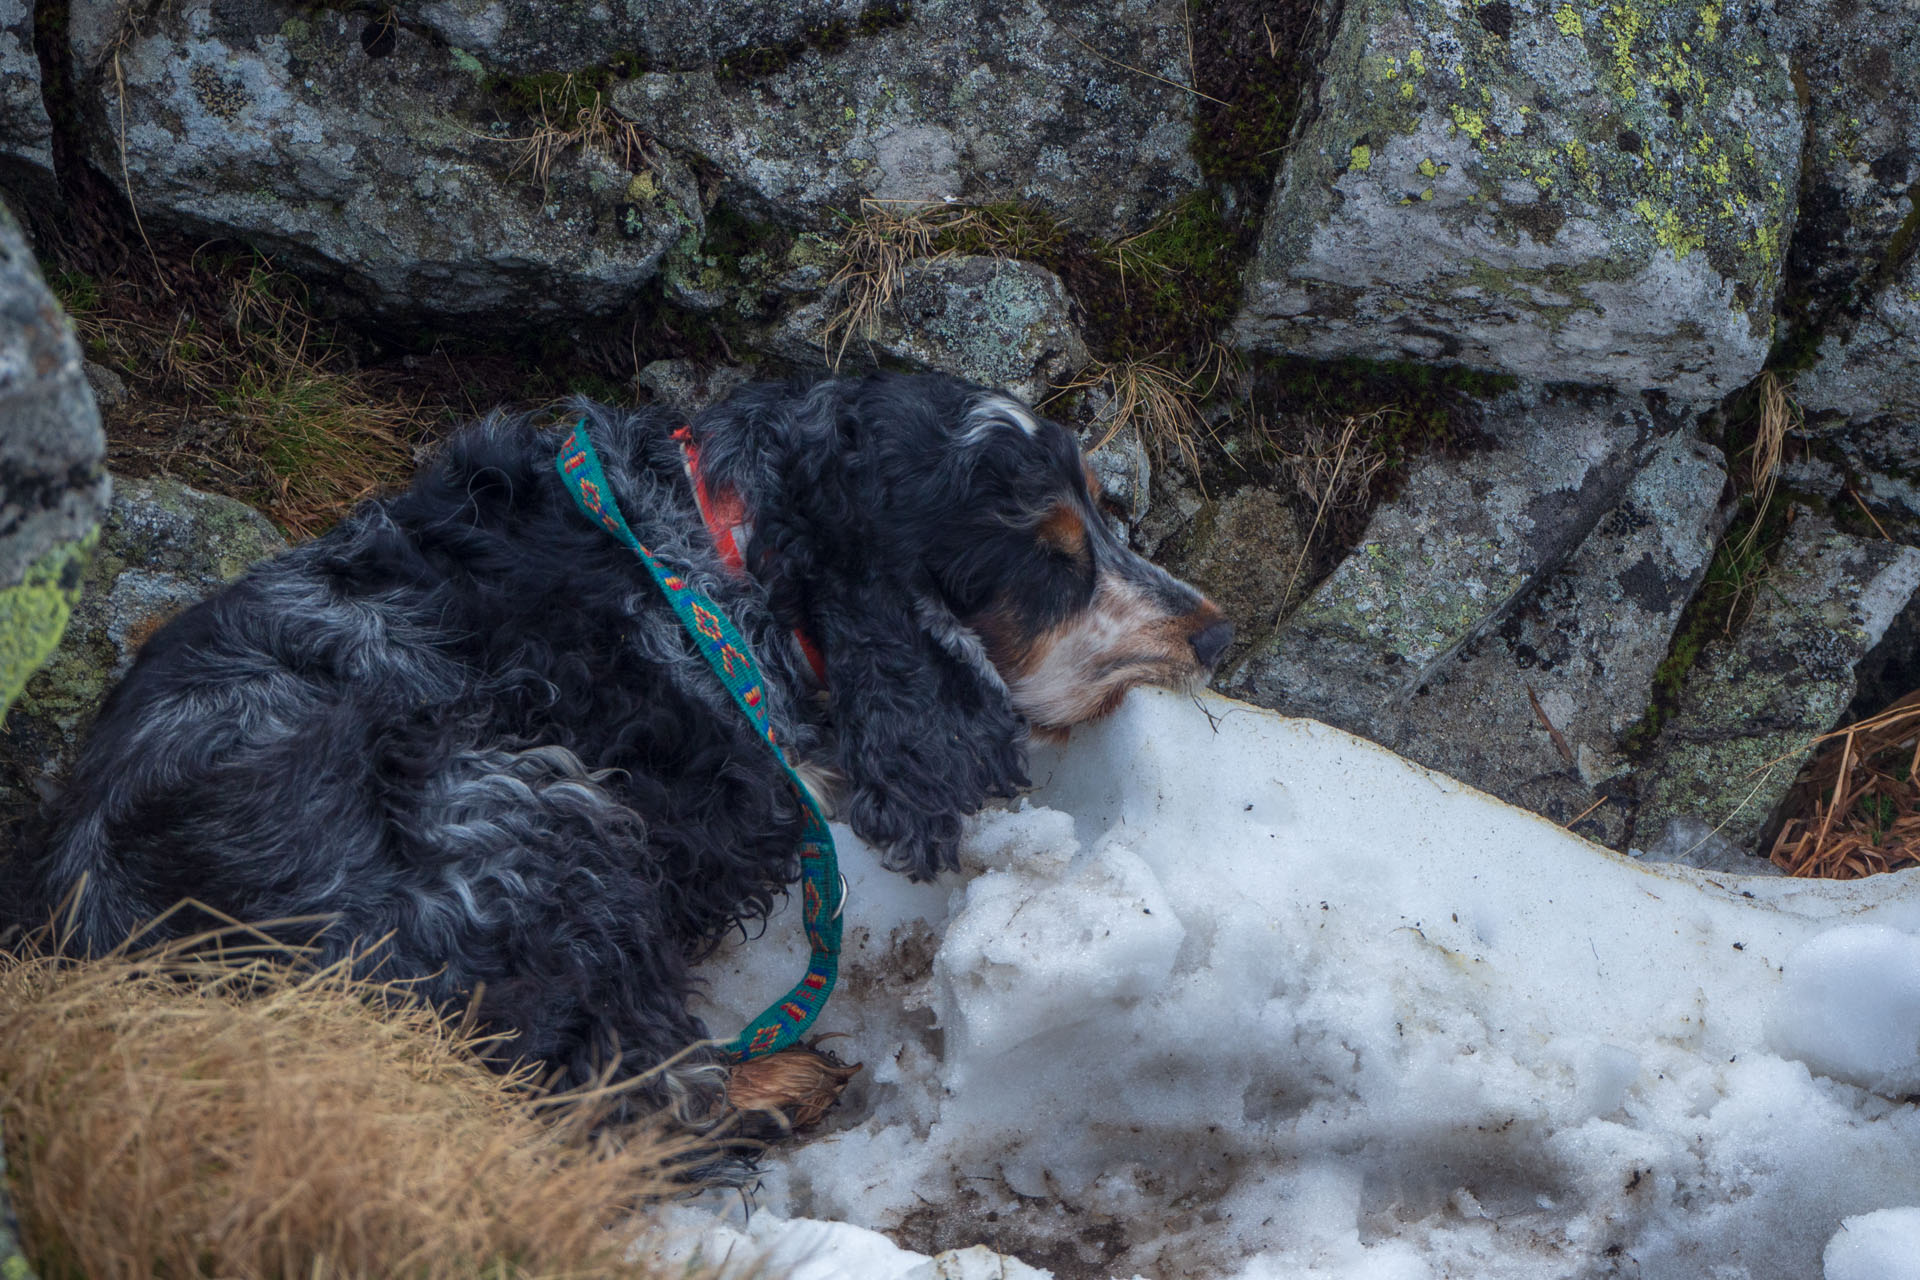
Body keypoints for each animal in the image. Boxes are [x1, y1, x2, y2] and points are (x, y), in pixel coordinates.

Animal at [18, 376, 1228, 1113]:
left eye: (1108, 516)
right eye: (1055, 561)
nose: (1213, 629)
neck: (710, 550)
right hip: (519, 814)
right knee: (631, 1103)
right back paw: (780, 1079)